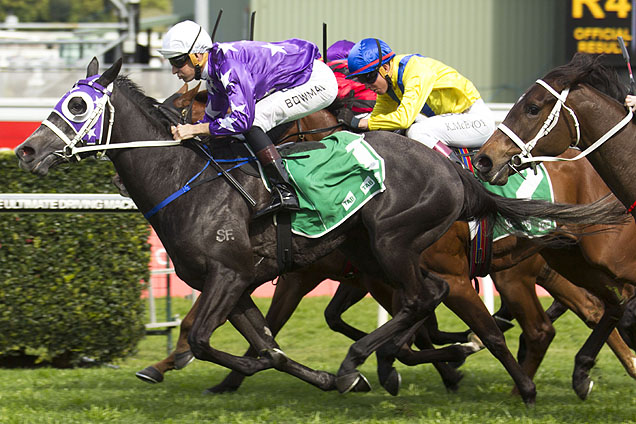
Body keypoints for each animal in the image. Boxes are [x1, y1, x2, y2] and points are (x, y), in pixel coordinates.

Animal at [14, 58, 628, 406]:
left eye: (77, 104)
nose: (25, 151)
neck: (187, 182)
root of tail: (454, 171)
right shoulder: (244, 283)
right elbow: (263, 345)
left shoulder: (230, 276)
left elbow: (200, 336)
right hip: (502, 261)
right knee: (570, 311)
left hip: (403, 247)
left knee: (444, 304)